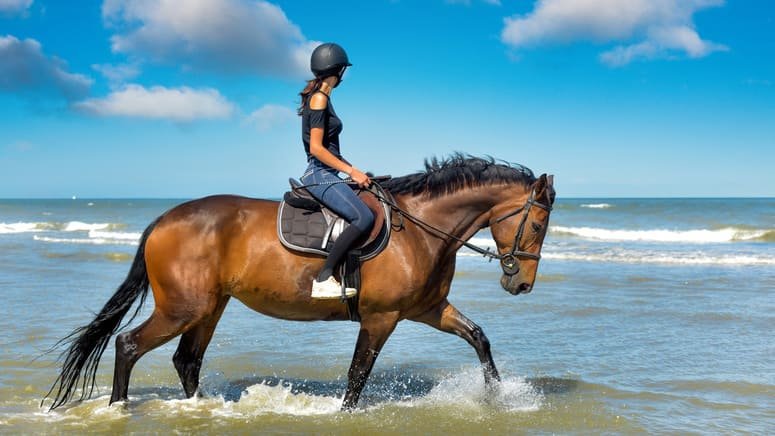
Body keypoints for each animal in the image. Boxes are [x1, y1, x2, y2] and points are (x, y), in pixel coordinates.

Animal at [44, 155, 556, 411]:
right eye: (536, 225)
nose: (521, 286)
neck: (419, 228)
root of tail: (163, 220)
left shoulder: (427, 310)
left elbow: (478, 337)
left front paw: (497, 396)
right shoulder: (381, 317)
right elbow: (357, 376)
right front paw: (344, 416)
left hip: (209, 308)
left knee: (186, 359)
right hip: (183, 308)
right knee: (129, 345)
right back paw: (117, 408)